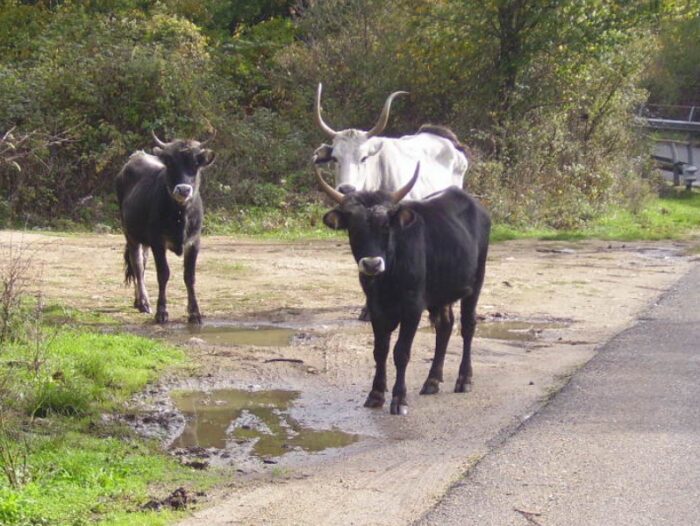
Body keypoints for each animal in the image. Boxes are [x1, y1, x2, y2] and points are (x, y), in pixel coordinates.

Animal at [115, 134, 215, 324]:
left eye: (196, 164)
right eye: (170, 162)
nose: (183, 189)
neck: (180, 215)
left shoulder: (194, 242)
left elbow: (189, 276)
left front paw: (195, 313)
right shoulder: (157, 242)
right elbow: (163, 273)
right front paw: (161, 312)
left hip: (143, 240)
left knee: (142, 262)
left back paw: (138, 301)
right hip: (130, 234)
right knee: (137, 264)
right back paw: (144, 302)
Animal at [314, 161, 490, 416]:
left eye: (386, 226)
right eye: (353, 227)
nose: (372, 264)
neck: (388, 278)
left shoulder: (412, 307)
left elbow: (401, 352)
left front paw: (399, 399)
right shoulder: (376, 308)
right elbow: (380, 350)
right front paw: (376, 394)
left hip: (475, 285)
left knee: (468, 326)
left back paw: (464, 379)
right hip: (441, 293)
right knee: (445, 327)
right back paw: (432, 381)